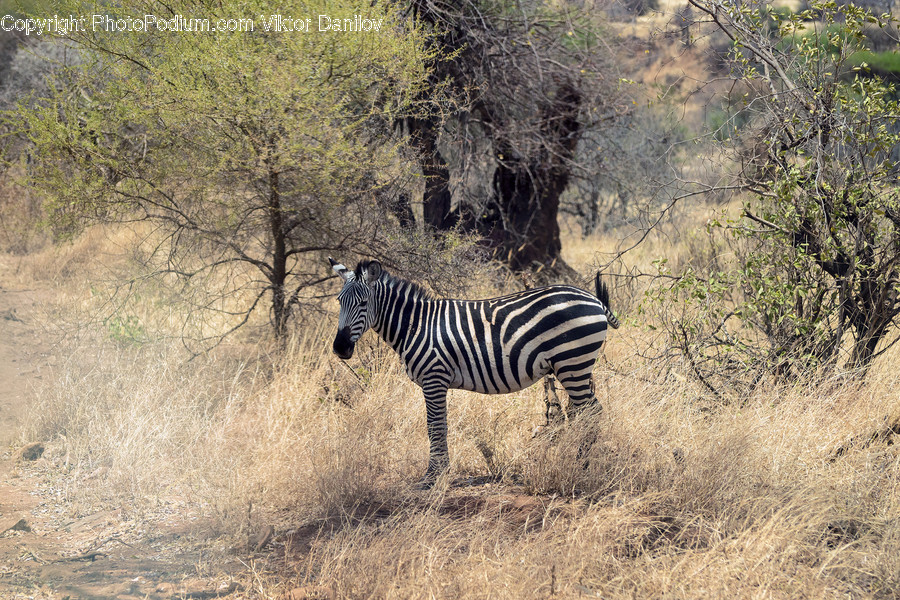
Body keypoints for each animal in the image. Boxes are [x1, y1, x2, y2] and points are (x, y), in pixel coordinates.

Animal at [329, 257, 620, 483]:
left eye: (363, 303)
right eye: (340, 302)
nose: (340, 348)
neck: (416, 325)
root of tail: (593, 299)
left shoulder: (434, 377)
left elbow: (434, 426)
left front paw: (433, 476)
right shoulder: (436, 381)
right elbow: (440, 425)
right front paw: (440, 472)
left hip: (572, 362)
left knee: (590, 413)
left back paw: (580, 465)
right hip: (575, 365)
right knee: (590, 411)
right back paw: (581, 461)